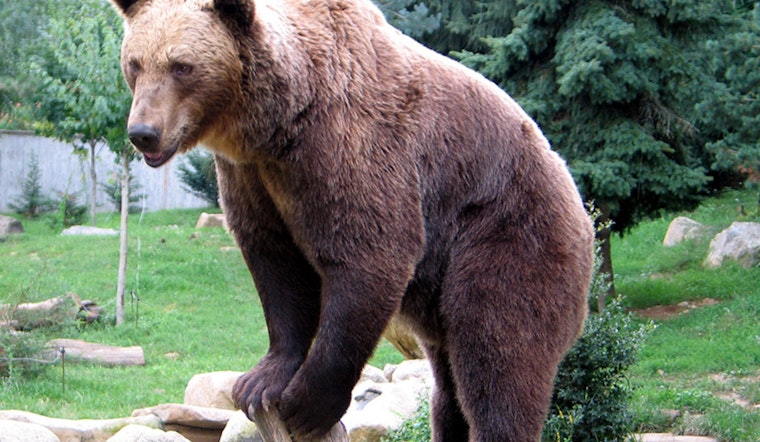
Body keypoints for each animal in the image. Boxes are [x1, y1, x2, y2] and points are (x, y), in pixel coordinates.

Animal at [109, 0, 595, 440]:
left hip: (506, 236)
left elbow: (370, 255)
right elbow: (276, 265)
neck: (276, 124)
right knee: (448, 388)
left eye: (182, 66)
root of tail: (581, 207)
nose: (143, 132)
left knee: (497, 357)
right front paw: (260, 381)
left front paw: (307, 403)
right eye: (135, 63)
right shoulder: (252, 177)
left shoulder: (349, 146)